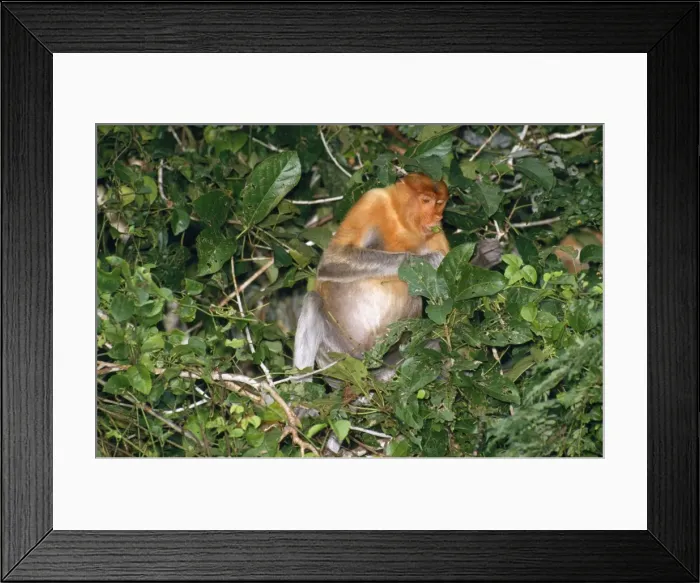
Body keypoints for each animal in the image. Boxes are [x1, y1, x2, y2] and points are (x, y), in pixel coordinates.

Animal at [293, 173, 502, 377]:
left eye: (439, 202)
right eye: (426, 200)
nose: (436, 216)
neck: (403, 223)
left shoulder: (436, 231)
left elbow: (451, 302)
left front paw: (485, 256)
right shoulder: (373, 199)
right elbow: (333, 259)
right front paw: (428, 260)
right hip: (338, 353)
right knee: (312, 300)